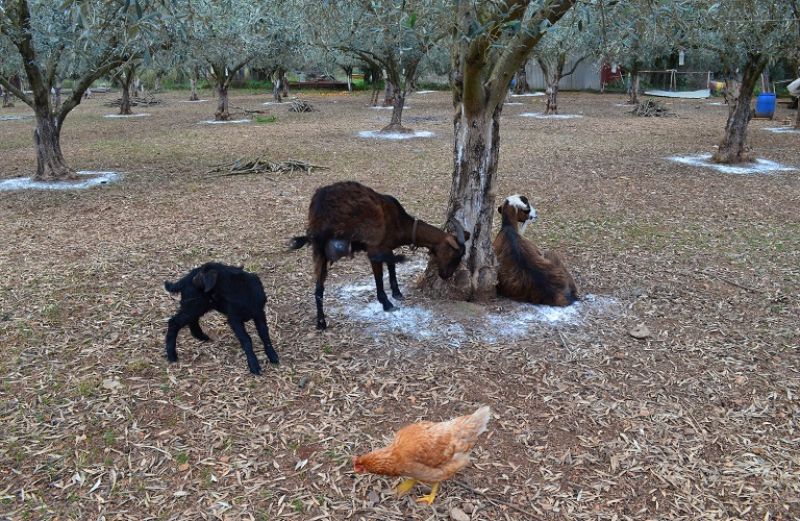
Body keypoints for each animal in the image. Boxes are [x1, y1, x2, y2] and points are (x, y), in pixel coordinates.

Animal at [292, 181, 468, 330]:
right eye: (455, 254)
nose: (446, 275)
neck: (401, 223)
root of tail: (320, 202)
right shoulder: (376, 246)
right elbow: (380, 274)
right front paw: (387, 303)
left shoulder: (386, 246)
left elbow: (391, 265)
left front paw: (396, 292)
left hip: (319, 249)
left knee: (319, 287)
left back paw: (321, 322)